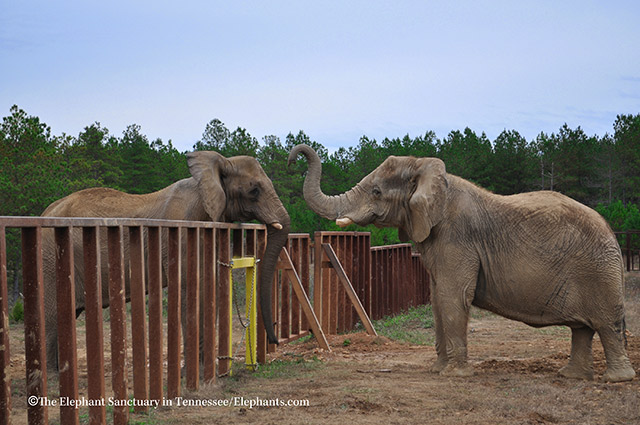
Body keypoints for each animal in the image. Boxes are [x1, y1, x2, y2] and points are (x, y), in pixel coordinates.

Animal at [43, 151, 284, 370]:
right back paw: (54, 374)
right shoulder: (182, 233)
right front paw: (194, 371)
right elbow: (191, 288)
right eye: (254, 190)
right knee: (53, 317)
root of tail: (46, 211)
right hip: (51, 256)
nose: (275, 339)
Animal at [288, 144, 636, 382]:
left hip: (598, 270)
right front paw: (438, 369)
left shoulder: (457, 237)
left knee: (606, 324)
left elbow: (452, 297)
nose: (293, 159)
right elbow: (437, 299)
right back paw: (570, 376)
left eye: (376, 191)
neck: (428, 172)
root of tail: (611, 231)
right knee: (582, 328)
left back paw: (615, 380)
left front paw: (453, 375)